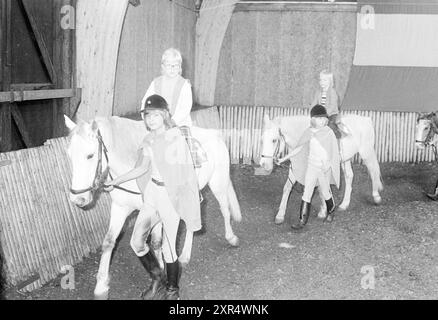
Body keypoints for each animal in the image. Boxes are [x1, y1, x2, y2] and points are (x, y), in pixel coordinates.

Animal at [64, 115, 241, 300]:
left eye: (90, 155)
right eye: (69, 155)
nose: (78, 199)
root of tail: (216, 135)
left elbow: (157, 242)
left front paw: (162, 271)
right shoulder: (120, 207)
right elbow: (109, 242)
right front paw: (101, 287)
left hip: (218, 184)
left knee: (225, 210)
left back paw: (231, 238)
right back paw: (185, 256)